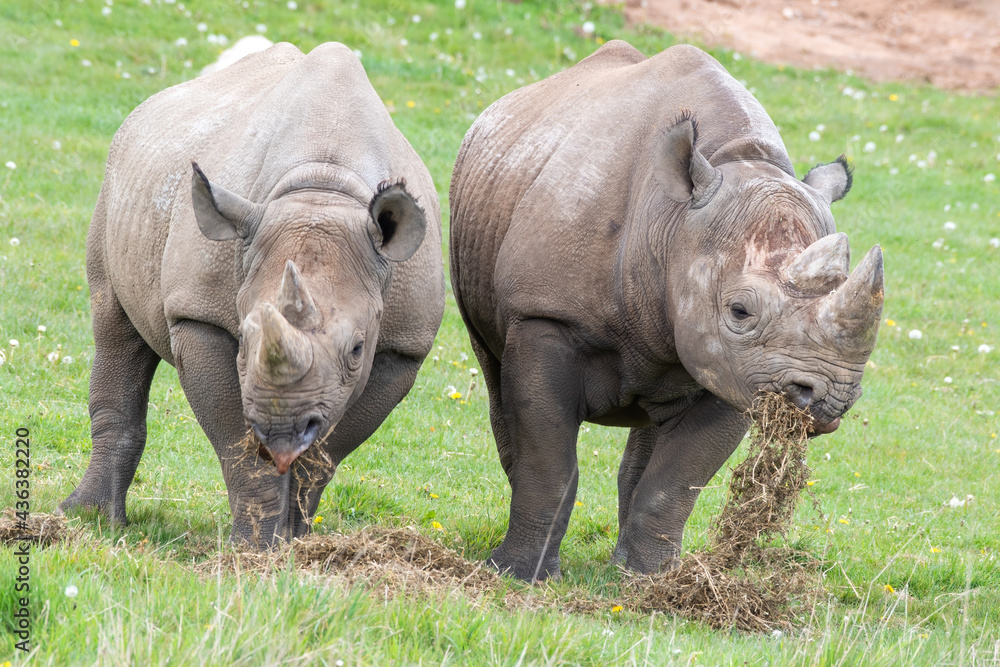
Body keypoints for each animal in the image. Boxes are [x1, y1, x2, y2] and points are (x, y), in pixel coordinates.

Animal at [60, 42, 444, 545]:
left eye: (358, 349)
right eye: (243, 338)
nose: (281, 428)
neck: (324, 189)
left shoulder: (403, 346)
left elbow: (323, 456)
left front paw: (296, 546)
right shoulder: (199, 315)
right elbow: (238, 448)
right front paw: (255, 548)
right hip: (116, 184)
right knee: (113, 322)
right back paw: (90, 518)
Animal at [449, 41, 883, 581]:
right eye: (740, 311)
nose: (829, 399)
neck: (674, 223)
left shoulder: (736, 368)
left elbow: (675, 483)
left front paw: (651, 584)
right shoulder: (544, 317)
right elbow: (548, 463)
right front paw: (515, 575)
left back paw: (626, 570)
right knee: (492, 371)